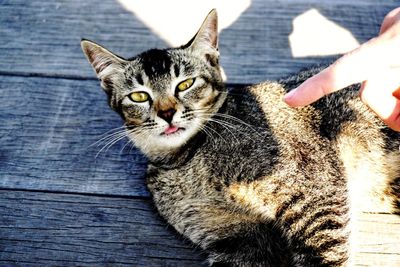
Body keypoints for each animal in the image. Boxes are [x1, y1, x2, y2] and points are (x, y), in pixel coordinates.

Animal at [81, 8, 400, 267]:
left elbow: (323, 254)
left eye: (185, 84)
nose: (167, 113)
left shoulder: (315, 193)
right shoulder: (236, 236)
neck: (186, 161)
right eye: (139, 96)